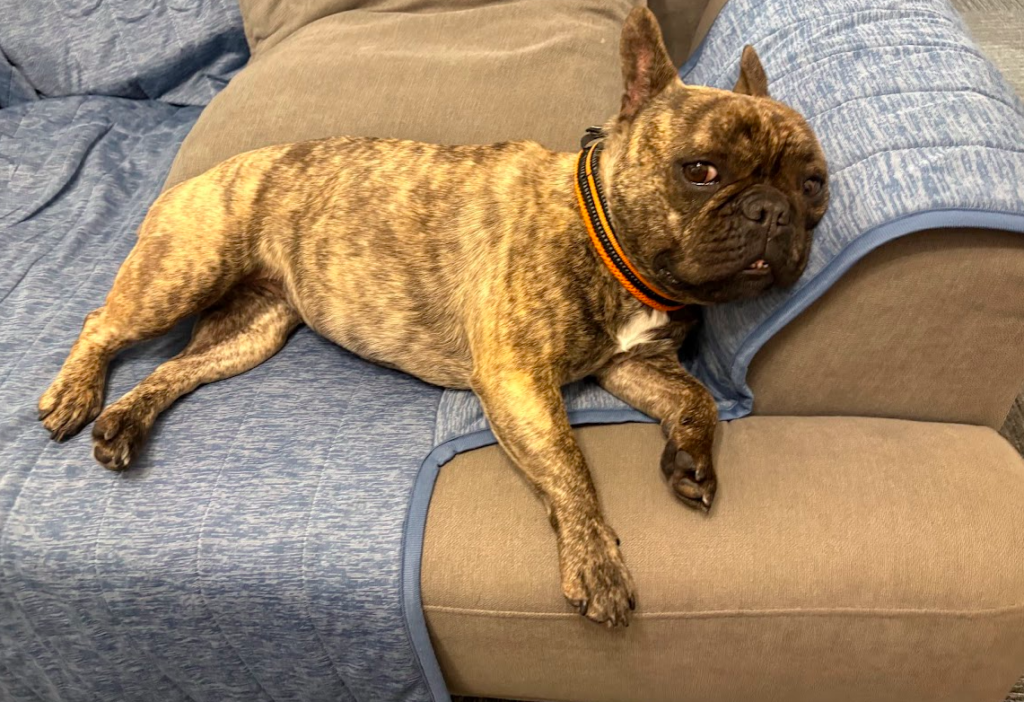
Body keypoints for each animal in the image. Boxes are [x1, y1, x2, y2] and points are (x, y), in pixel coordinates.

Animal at [38, 7, 828, 627]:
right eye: (700, 171)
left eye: (815, 185)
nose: (772, 210)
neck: (606, 237)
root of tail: (200, 173)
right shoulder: (518, 382)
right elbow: (570, 468)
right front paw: (596, 562)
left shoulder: (631, 365)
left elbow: (695, 400)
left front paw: (690, 460)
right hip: (183, 273)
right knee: (100, 323)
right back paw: (76, 394)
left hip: (253, 331)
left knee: (178, 367)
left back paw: (125, 422)